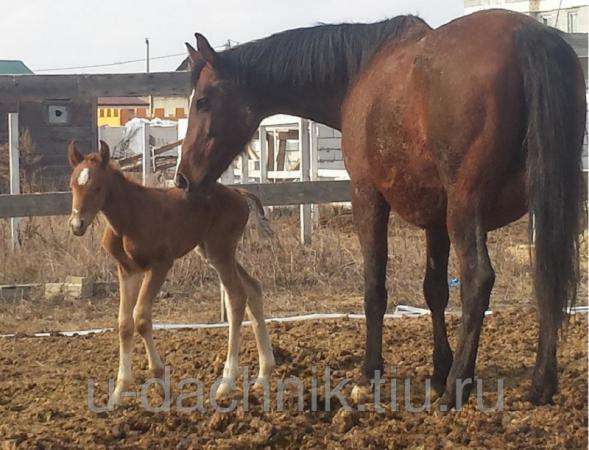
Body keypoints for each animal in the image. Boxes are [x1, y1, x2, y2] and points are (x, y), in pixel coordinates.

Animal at [68, 141, 274, 404]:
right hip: (210, 252)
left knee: (237, 296)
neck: (131, 216)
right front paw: (118, 392)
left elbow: (141, 317)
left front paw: (160, 382)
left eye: (97, 187)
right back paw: (263, 375)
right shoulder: (127, 269)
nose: (77, 225)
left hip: (220, 250)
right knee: (253, 288)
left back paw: (226, 382)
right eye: (72, 185)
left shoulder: (160, 265)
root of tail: (238, 193)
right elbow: (124, 323)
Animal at [173, 8, 584, 406]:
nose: (183, 179)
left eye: (203, 101)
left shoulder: (367, 196)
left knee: (479, 280)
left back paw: (457, 388)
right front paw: (438, 369)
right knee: (548, 274)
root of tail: (528, 36)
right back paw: (540, 383)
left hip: (466, 210)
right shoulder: (436, 218)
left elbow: (375, 289)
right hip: (544, 204)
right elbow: (435, 290)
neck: (362, 72)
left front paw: (370, 374)